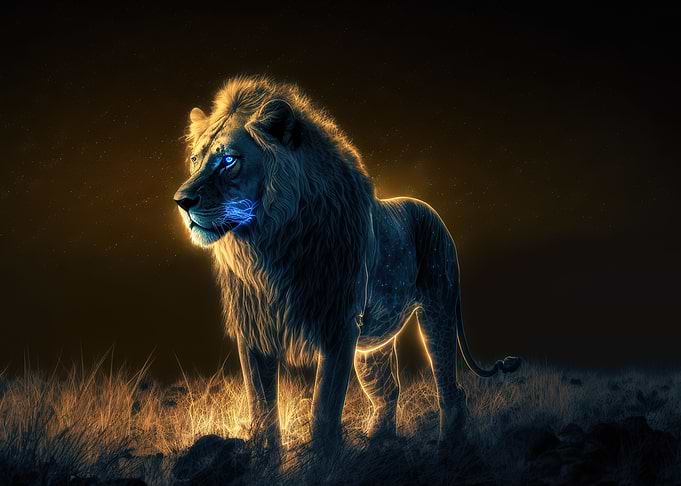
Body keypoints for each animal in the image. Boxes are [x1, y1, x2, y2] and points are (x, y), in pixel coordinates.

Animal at [174, 76, 520, 453]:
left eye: (228, 160)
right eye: (194, 159)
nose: (181, 200)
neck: (269, 245)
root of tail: (430, 209)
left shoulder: (338, 325)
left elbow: (324, 411)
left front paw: (323, 459)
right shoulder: (255, 330)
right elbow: (262, 409)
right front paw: (266, 456)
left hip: (438, 308)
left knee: (451, 389)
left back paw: (448, 449)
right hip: (373, 345)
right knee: (387, 392)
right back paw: (378, 445)